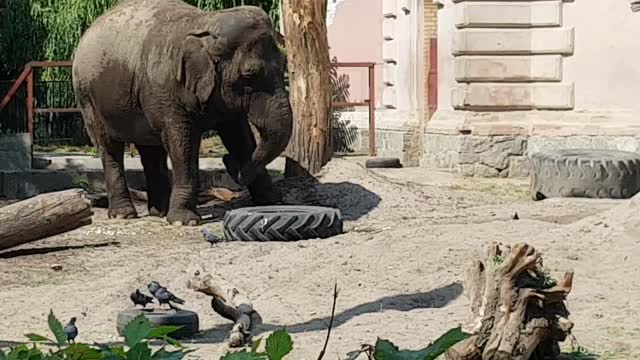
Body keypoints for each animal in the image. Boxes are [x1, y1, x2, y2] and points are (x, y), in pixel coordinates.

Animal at [74, 0, 294, 225]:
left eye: (284, 65)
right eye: (249, 75)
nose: (227, 161)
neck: (206, 24)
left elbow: (240, 137)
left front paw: (273, 202)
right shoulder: (169, 92)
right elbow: (182, 142)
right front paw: (184, 221)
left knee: (151, 150)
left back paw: (159, 212)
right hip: (88, 100)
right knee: (109, 147)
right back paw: (123, 214)